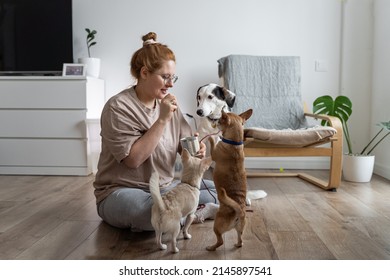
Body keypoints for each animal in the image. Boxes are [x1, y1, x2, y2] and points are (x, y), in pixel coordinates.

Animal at [207, 108, 253, 250]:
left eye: (219, 120)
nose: (215, 120)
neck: (235, 143)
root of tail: (239, 212)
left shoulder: (213, 154)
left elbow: (212, 144)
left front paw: (212, 137)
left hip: (217, 225)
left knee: (220, 241)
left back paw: (211, 247)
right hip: (240, 229)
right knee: (240, 240)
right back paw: (237, 244)